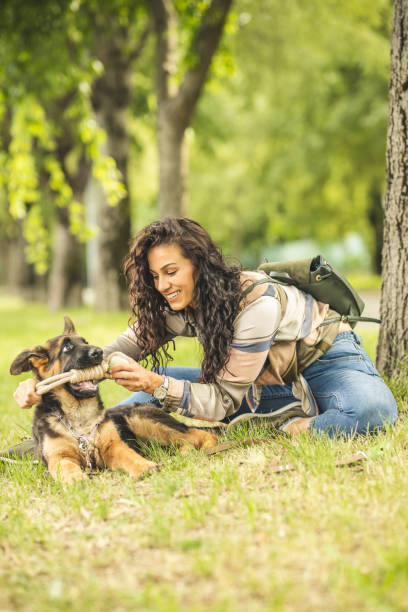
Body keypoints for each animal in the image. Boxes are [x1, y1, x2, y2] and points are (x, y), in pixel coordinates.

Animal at [8, 318, 217, 486]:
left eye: (85, 342)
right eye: (67, 348)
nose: (98, 352)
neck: (79, 415)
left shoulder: (114, 447)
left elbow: (129, 456)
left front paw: (144, 467)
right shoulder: (58, 457)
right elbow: (66, 467)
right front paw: (75, 479)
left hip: (144, 421)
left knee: (201, 435)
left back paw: (207, 448)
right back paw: (185, 452)